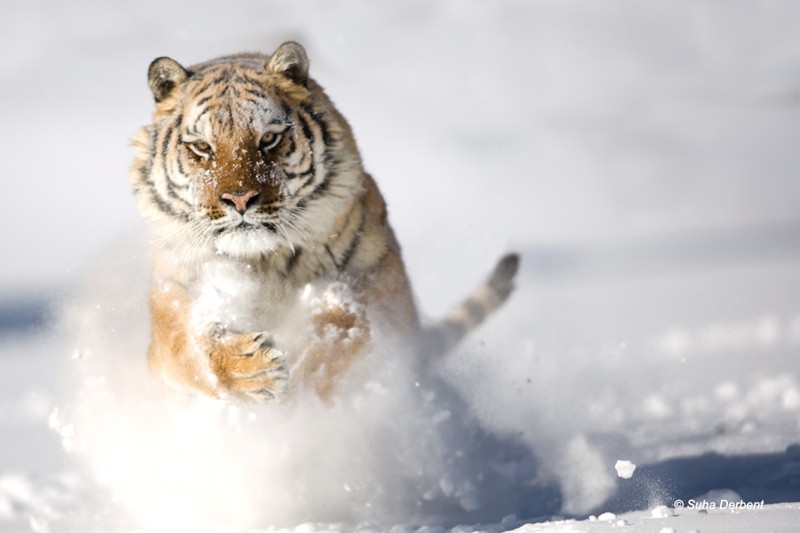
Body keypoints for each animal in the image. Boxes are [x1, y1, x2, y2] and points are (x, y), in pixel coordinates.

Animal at [131, 42, 520, 404]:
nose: (240, 200)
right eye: (201, 148)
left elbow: (344, 328)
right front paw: (252, 370)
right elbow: (188, 348)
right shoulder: (172, 291)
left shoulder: (378, 272)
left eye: (269, 139)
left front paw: (303, 378)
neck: (261, 262)